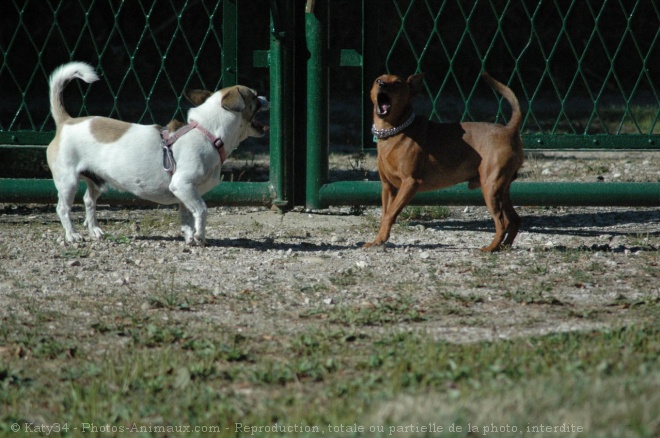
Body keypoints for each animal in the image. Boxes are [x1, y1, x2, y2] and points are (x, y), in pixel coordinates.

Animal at [45, 61, 268, 245]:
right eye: (254, 96)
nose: (265, 97)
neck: (208, 133)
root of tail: (66, 121)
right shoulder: (183, 185)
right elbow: (202, 210)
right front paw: (199, 235)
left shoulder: (184, 193)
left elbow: (187, 217)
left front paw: (190, 237)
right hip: (68, 181)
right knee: (62, 208)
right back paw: (72, 235)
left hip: (96, 182)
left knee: (89, 201)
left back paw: (95, 230)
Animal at [364, 72, 524, 253]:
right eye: (378, 80)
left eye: (397, 83)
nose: (382, 85)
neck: (393, 131)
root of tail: (509, 130)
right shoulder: (388, 187)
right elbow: (384, 214)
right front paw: (378, 241)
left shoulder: (410, 183)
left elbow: (390, 214)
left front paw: (381, 239)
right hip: (502, 189)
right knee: (514, 219)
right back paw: (505, 246)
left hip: (490, 187)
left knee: (502, 222)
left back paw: (490, 248)